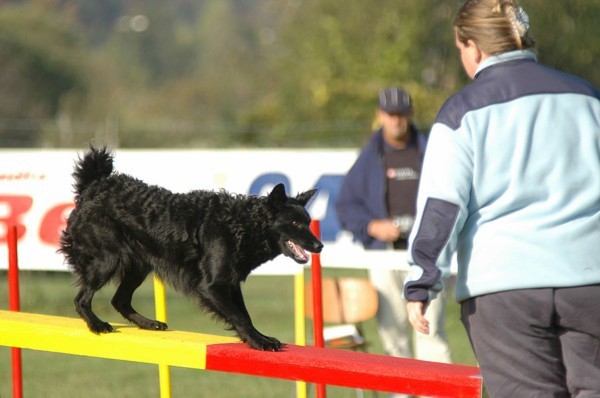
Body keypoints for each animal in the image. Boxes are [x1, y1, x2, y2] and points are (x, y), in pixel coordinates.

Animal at [59, 146, 324, 352]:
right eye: (295, 223)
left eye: (308, 222)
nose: (319, 245)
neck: (242, 225)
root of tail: (93, 187)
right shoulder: (211, 286)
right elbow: (239, 316)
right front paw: (259, 342)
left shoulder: (229, 282)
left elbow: (244, 314)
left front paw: (258, 337)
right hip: (110, 259)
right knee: (82, 298)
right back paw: (97, 325)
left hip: (139, 264)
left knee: (119, 300)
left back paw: (149, 323)